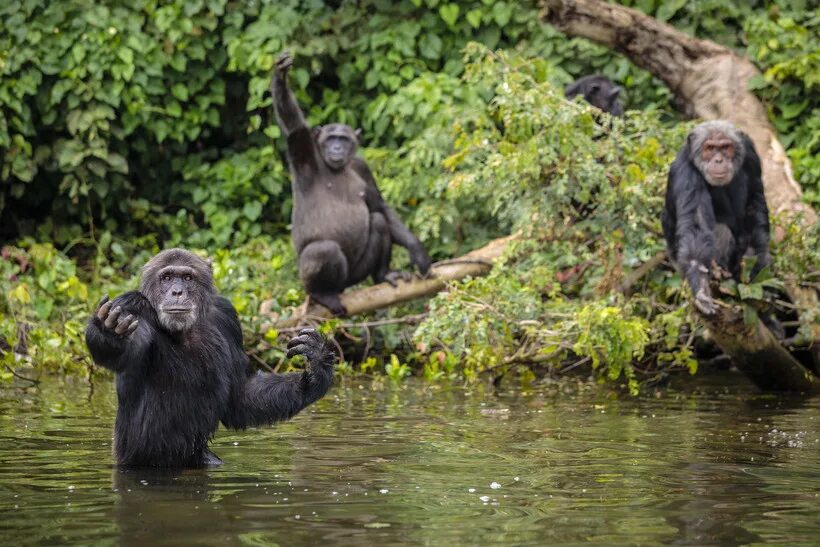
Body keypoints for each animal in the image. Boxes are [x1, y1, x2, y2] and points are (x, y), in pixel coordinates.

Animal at [85, 250, 336, 468]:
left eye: (187, 277)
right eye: (167, 277)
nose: (177, 291)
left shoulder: (227, 315)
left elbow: (240, 397)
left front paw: (316, 367)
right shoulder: (129, 305)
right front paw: (108, 331)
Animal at [272, 52, 432, 316]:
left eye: (344, 139)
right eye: (330, 138)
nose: (337, 148)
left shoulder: (361, 167)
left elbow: (378, 207)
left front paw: (417, 251)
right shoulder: (304, 153)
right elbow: (295, 125)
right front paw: (280, 77)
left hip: (355, 275)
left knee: (378, 221)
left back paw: (383, 275)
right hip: (313, 281)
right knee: (324, 250)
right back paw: (322, 294)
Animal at [664, 120, 772, 316]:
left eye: (725, 147)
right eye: (710, 148)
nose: (719, 160)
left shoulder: (751, 155)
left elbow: (755, 199)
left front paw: (757, 262)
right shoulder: (686, 173)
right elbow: (696, 226)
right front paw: (701, 285)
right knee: (720, 231)